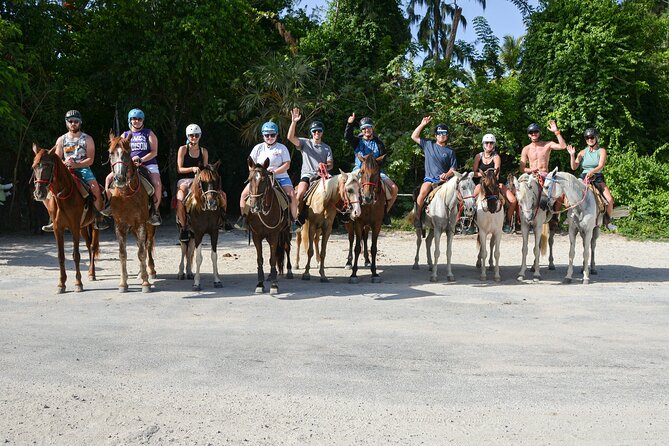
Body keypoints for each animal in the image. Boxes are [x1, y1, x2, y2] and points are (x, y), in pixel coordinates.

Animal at [31, 145, 99, 294]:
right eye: (34, 166)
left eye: (48, 166)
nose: (39, 193)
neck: (64, 196)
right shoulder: (58, 229)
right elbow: (61, 256)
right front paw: (61, 284)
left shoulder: (74, 227)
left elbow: (76, 255)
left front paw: (78, 283)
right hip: (83, 228)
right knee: (89, 246)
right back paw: (90, 273)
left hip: (91, 226)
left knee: (92, 246)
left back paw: (92, 273)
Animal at [107, 132, 156, 292]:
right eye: (111, 153)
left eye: (128, 153)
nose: (119, 178)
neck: (126, 195)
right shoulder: (119, 226)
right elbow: (122, 254)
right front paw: (123, 283)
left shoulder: (140, 224)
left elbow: (141, 253)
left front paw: (146, 283)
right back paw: (140, 273)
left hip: (149, 226)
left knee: (147, 245)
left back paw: (149, 272)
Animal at [177, 162, 227, 290]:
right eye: (202, 181)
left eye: (216, 179)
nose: (212, 203)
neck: (206, 211)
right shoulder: (199, 233)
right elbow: (199, 258)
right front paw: (196, 283)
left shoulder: (214, 232)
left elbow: (214, 256)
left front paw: (217, 280)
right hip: (183, 231)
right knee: (183, 249)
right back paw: (181, 272)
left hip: (193, 234)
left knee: (189, 249)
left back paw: (189, 272)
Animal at [243, 155, 290, 294]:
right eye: (250, 179)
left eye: (264, 180)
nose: (254, 206)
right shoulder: (256, 236)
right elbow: (260, 259)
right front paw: (260, 284)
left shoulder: (274, 235)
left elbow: (273, 259)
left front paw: (274, 285)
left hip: (285, 232)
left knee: (286, 248)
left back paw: (289, 271)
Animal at [344, 153, 386, 284]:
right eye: (362, 172)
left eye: (377, 172)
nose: (367, 197)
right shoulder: (358, 223)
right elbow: (357, 247)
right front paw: (354, 274)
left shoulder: (376, 224)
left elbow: (373, 248)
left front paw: (374, 273)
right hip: (349, 224)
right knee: (351, 239)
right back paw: (348, 262)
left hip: (367, 226)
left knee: (365, 238)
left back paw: (367, 260)